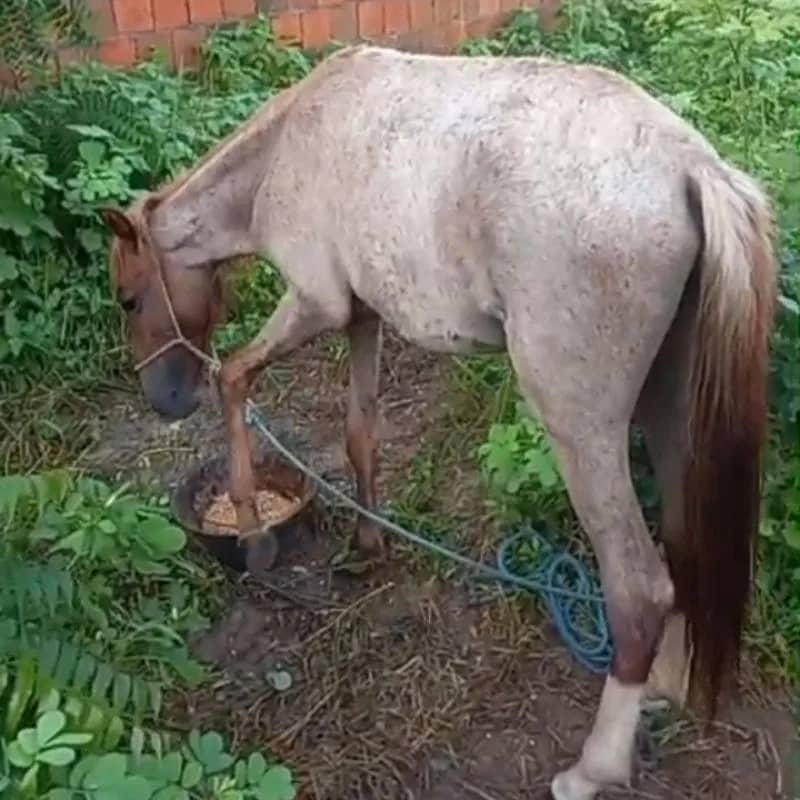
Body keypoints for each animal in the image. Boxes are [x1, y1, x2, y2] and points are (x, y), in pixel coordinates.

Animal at [105, 45, 777, 800]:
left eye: (130, 298)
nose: (164, 399)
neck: (288, 144)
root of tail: (693, 170)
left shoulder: (315, 304)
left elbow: (234, 379)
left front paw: (251, 532)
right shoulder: (360, 316)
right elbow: (359, 435)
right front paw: (367, 546)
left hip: (583, 433)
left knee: (638, 588)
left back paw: (591, 768)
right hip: (670, 411)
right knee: (683, 547)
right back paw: (663, 685)